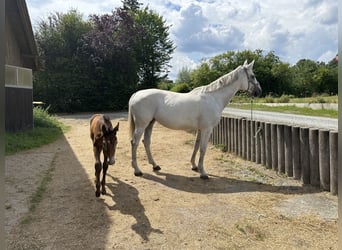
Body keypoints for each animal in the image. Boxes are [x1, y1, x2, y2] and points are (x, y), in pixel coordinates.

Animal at [128, 60, 262, 180]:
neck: (214, 97)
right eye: (252, 76)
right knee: (135, 143)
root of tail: (136, 94)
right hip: (141, 125)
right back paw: (137, 171)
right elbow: (203, 149)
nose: (259, 91)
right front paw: (203, 173)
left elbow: (196, 146)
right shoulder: (207, 129)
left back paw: (155, 166)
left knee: (146, 142)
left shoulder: (200, 129)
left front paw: (194, 166)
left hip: (150, 123)